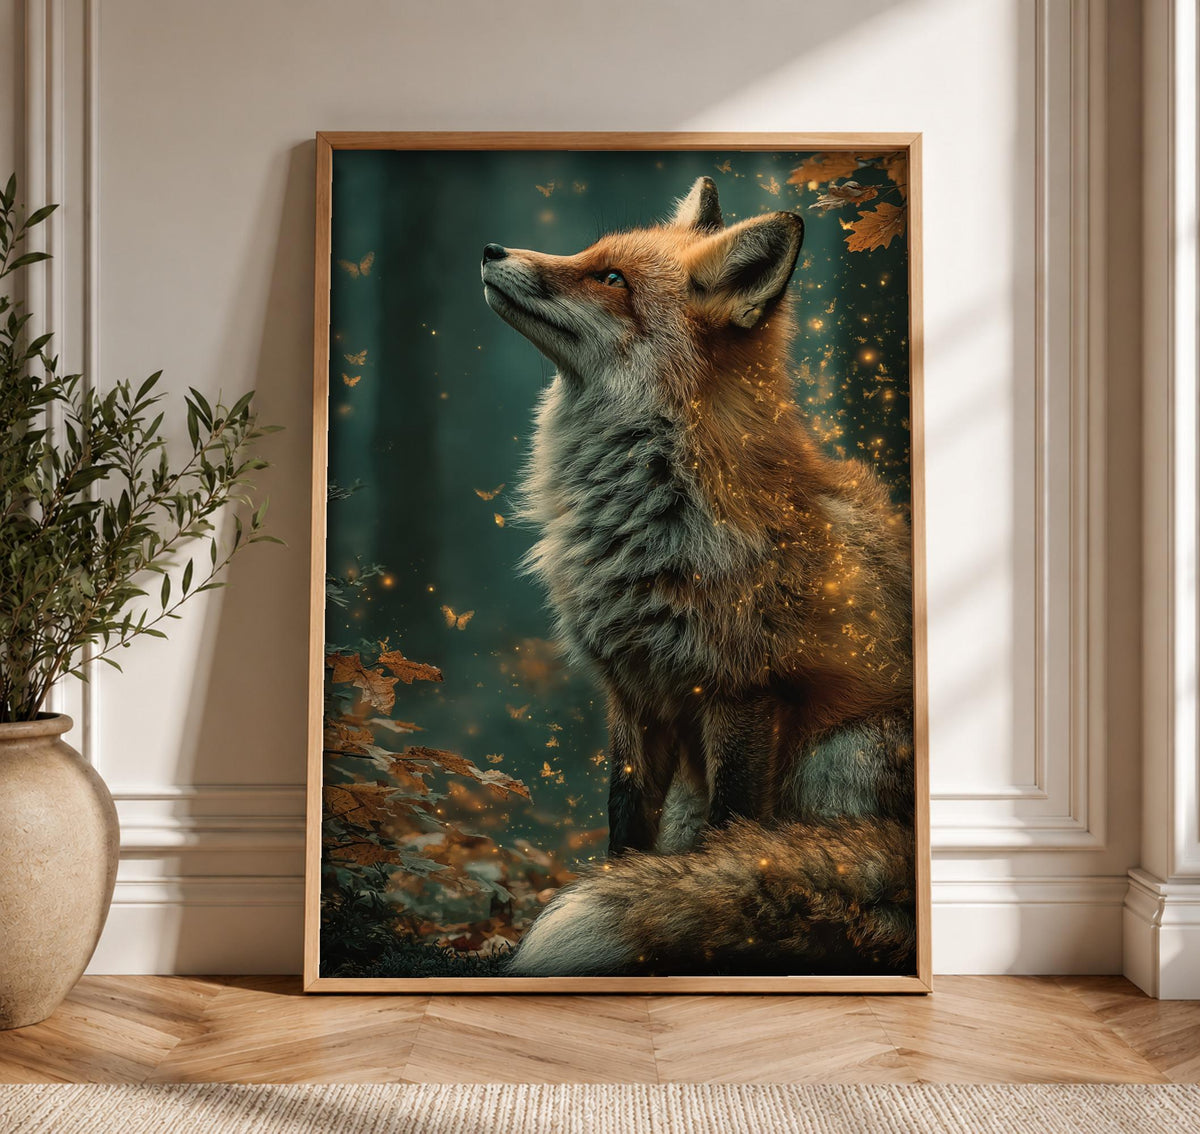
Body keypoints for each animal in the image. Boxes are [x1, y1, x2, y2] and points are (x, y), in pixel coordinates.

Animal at [480, 175, 916, 977]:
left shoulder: (742, 689)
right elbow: (624, 833)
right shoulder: (629, 688)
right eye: (590, 254)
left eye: (611, 280)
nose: (492, 249)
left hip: (842, 757)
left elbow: (734, 837)